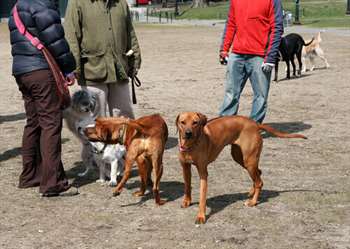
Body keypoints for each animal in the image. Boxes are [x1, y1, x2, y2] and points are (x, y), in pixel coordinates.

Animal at [175, 113, 306, 224]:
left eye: (195, 122)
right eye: (182, 122)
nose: (188, 133)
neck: (190, 146)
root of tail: (255, 124)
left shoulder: (203, 172)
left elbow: (202, 197)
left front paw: (201, 216)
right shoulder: (185, 167)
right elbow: (187, 186)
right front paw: (187, 201)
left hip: (249, 161)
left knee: (259, 181)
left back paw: (253, 202)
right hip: (240, 157)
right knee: (259, 174)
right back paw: (252, 192)